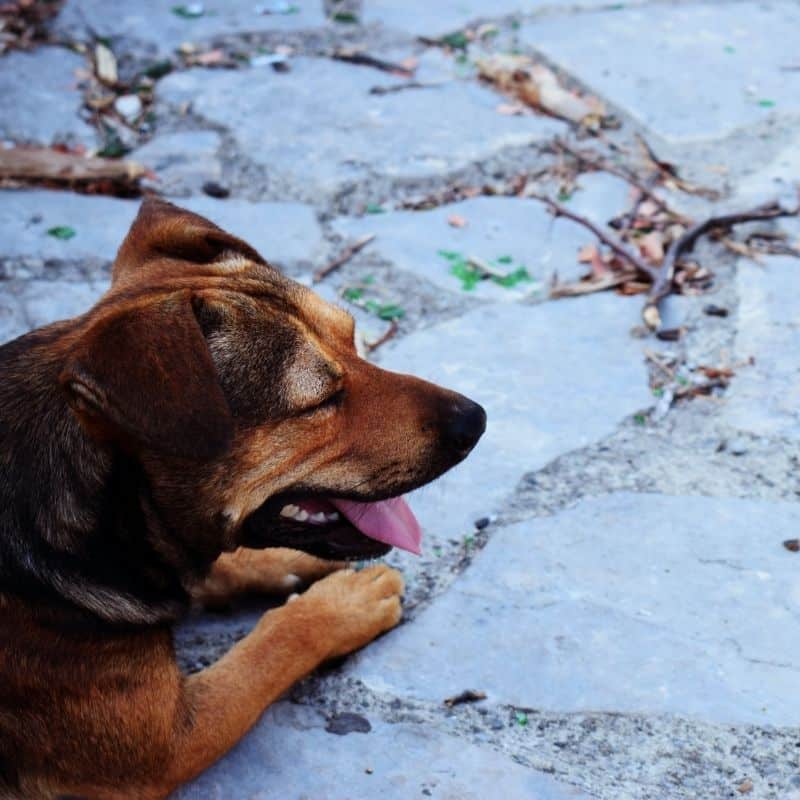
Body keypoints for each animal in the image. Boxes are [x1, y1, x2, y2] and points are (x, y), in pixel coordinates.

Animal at [0, 198, 488, 800]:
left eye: (353, 338)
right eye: (320, 400)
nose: (477, 420)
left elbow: (224, 566)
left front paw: (290, 566)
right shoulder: (164, 747)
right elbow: (272, 644)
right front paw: (343, 604)